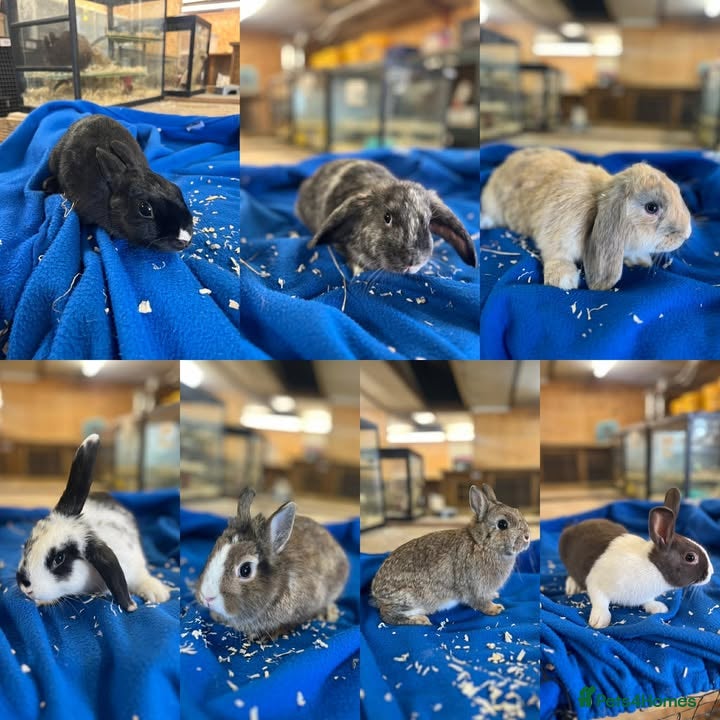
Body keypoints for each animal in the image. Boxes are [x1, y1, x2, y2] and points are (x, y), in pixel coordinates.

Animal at [371, 484, 530, 626]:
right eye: (502, 524)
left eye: (517, 511)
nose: (528, 536)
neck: (482, 544)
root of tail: (376, 593)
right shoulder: (477, 588)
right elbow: (481, 603)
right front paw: (496, 608)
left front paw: (495, 596)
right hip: (412, 600)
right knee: (387, 615)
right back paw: (420, 620)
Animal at [480, 147, 692, 290]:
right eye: (651, 207)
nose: (687, 234)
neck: (598, 199)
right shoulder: (556, 235)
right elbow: (556, 255)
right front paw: (564, 279)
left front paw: (641, 259)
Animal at [559, 488, 713, 629]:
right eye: (690, 557)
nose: (711, 573)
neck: (653, 566)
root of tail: (572, 528)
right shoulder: (595, 583)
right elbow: (600, 601)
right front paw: (599, 621)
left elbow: (648, 601)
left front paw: (658, 608)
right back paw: (572, 587)